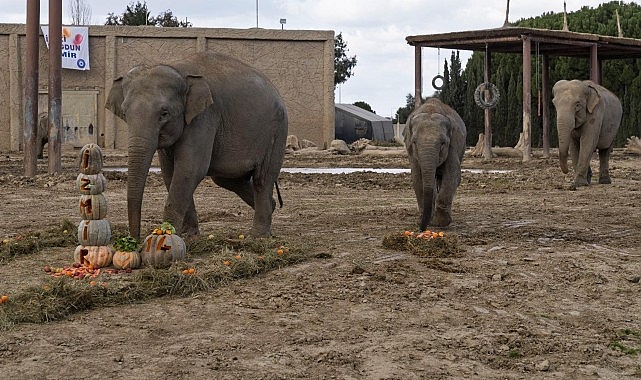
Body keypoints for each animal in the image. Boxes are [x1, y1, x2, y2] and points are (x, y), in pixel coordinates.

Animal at [105, 52, 288, 239]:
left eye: (164, 113)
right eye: (124, 112)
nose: (134, 240)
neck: (178, 69)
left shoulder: (204, 117)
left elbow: (189, 169)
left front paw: (167, 235)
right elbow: (170, 173)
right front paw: (188, 235)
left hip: (277, 131)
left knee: (262, 179)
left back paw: (258, 235)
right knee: (226, 179)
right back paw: (273, 206)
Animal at [404, 96, 464, 230]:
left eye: (442, 143)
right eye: (414, 142)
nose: (422, 228)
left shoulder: (453, 144)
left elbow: (453, 173)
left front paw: (441, 223)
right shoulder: (412, 154)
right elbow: (416, 177)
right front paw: (424, 220)